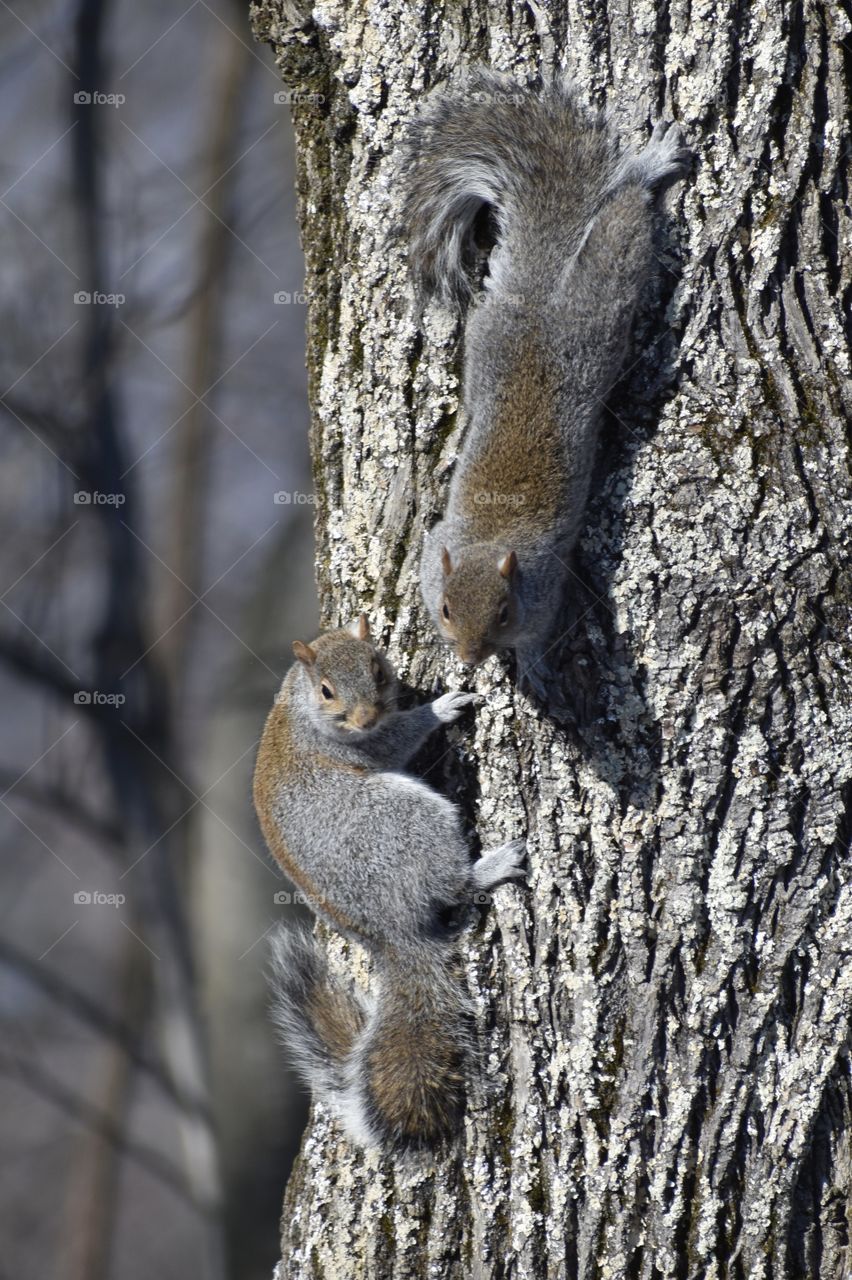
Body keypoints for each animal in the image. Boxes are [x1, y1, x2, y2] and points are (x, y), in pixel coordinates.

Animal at [250, 614, 524, 1157]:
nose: (365, 717)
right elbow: (396, 739)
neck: (299, 704)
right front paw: (441, 707)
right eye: (327, 690)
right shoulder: (362, 744)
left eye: (378, 668)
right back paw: (490, 867)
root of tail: (393, 934)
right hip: (405, 820)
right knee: (452, 886)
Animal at [399, 67, 690, 691]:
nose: (468, 658)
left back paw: (649, 165)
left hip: (599, 309)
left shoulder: (547, 589)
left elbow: (541, 637)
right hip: (487, 342)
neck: (488, 542)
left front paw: (533, 671)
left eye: (505, 613)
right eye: (445, 609)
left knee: (623, 221)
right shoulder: (436, 552)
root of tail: (540, 294)